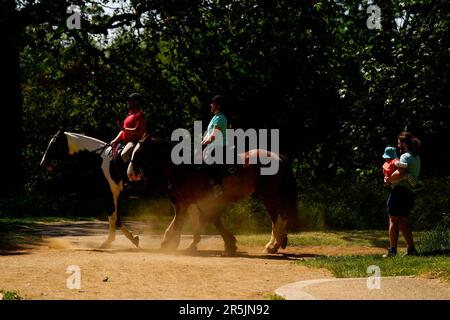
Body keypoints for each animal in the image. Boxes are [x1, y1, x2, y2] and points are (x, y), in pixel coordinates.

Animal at [126, 136, 298, 254]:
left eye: (139, 153)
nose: (130, 173)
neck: (185, 168)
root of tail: (278, 157)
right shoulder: (189, 202)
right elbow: (189, 222)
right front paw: (184, 243)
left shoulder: (193, 202)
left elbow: (210, 220)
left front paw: (230, 244)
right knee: (278, 217)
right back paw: (276, 243)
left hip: (268, 196)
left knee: (277, 218)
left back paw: (274, 244)